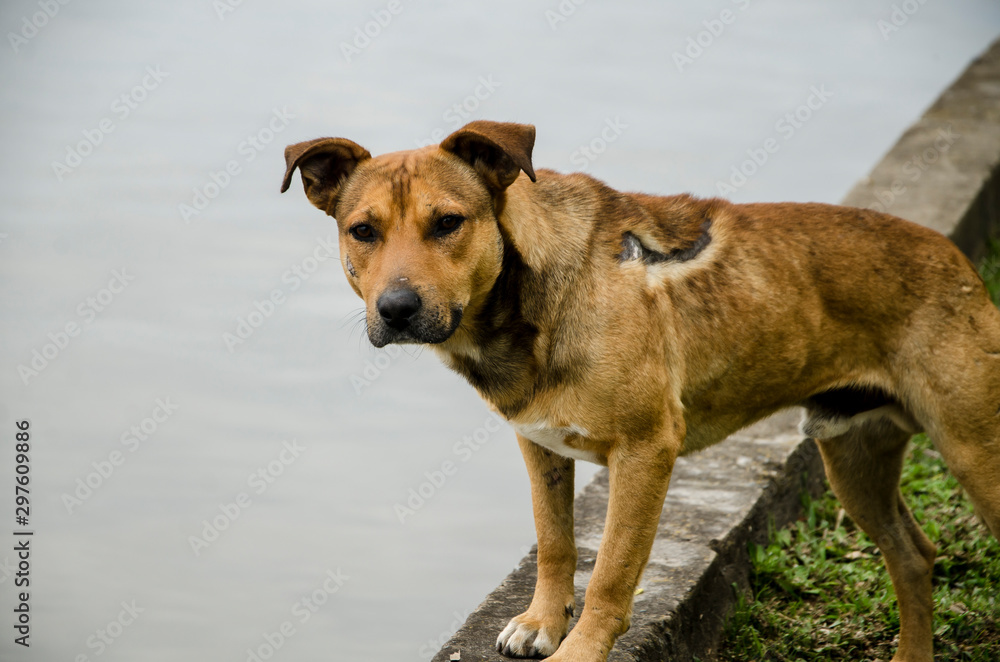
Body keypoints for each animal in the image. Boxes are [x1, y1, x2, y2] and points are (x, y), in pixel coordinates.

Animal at [280, 120, 1000, 662]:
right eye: (363, 231)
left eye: (448, 223)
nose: (397, 309)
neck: (529, 298)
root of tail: (957, 260)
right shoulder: (541, 444)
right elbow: (556, 540)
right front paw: (543, 622)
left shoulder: (647, 449)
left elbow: (612, 570)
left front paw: (578, 650)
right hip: (852, 456)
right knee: (913, 556)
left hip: (971, 451)